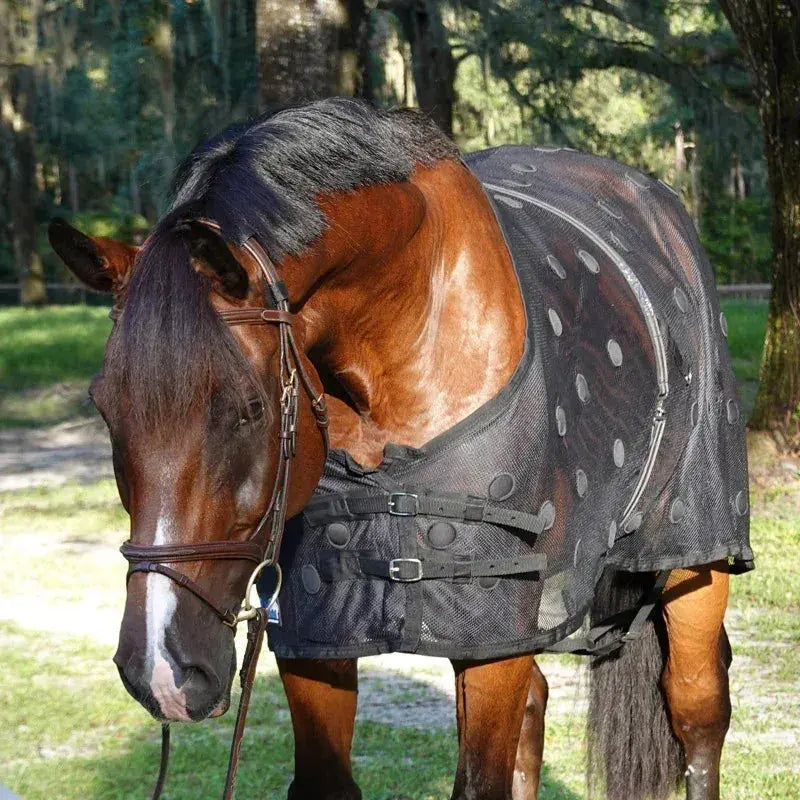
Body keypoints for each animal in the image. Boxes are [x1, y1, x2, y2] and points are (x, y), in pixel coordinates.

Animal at [49, 98, 751, 800]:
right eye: (106, 409)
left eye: (247, 409)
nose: (161, 670)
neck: (417, 332)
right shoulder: (320, 631)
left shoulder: (492, 629)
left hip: (694, 563)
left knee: (697, 710)